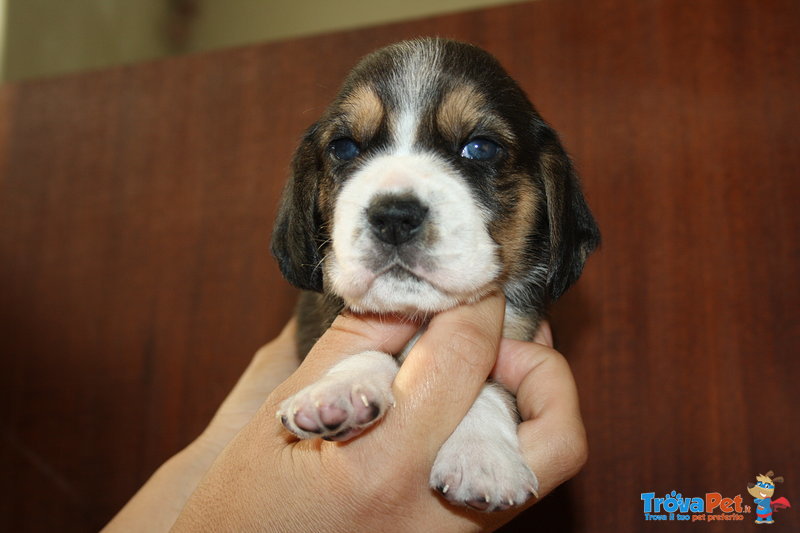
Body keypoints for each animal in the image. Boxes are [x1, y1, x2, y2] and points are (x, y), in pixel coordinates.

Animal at [272, 37, 596, 512]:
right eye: (345, 148)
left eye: (481, 148)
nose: (394, 216)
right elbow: (371, 352)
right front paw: (338, 391)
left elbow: (490, 385)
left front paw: (482, 457)